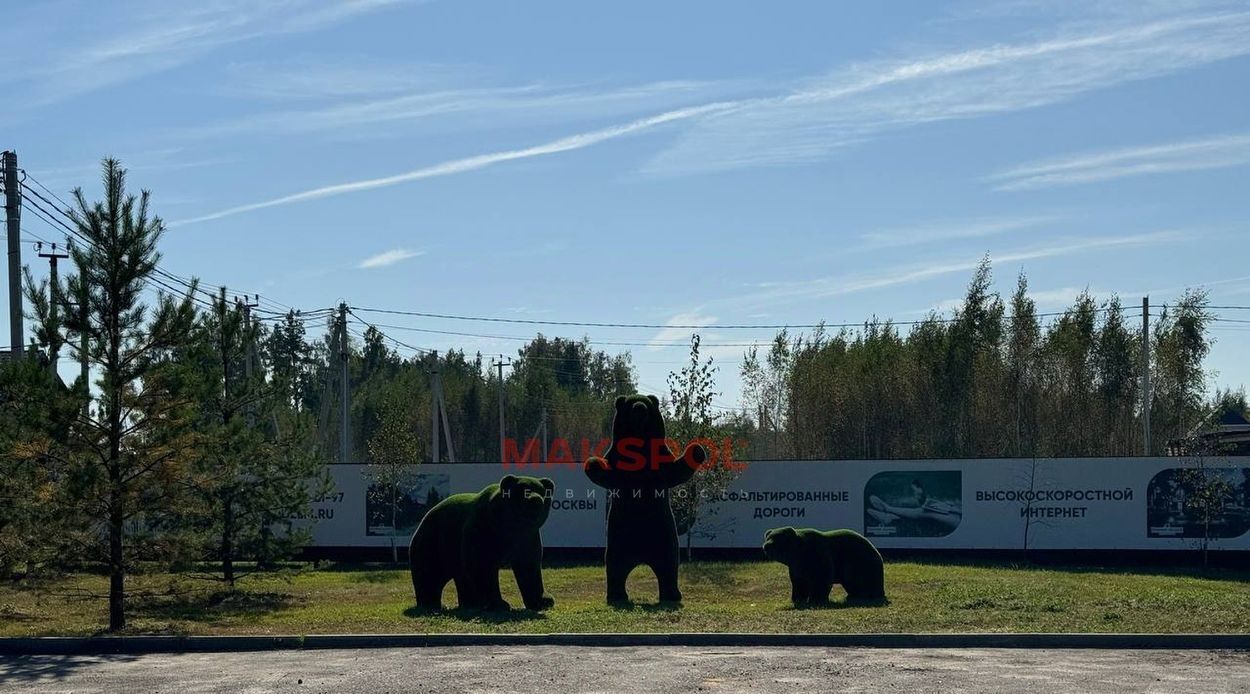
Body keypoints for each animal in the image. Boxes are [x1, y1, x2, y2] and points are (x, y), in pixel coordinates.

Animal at [407, 475, 555, 610]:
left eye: (542, 491)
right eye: (524, 490)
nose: (536, 500)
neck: (509, 527)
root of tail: (424, 518)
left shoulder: (527, 537)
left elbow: (528, 566)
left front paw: (543, 601)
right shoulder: (483, 528)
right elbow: (482, 565)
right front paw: (498, 603)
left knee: (462, 577)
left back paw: (469, 603)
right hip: (435, 542)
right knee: (430, 573)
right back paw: (432, 603)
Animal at [582, 397, 705, 602]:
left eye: (645, 403)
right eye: (631, 403)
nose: (639, 407)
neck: (639, 448)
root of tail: (641, 558)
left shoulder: (661, 463)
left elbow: (677, 470)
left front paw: (697, 450)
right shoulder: (617, 464)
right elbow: (605, 473)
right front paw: (592, 462)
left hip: (664, 536)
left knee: (670, 563)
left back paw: (671, 594)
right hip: (619, 540)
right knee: (615, 566)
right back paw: (616, 595)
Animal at [760, 530, 890, 605]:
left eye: (775, 539)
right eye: (768, 537)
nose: (766, 546)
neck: (797, 553)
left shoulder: (818, 554)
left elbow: (822, 579)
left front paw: (816, 600)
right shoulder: (796, 566)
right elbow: (799, 583)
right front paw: (797, 599)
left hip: (860, 563)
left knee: (860, 582)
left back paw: (864, 595)